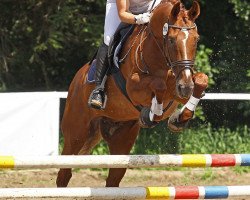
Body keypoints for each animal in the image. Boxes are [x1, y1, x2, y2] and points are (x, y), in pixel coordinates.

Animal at [55, 0, 208, 188]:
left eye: (196, 39)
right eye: (171, 40)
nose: (186, 87)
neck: (158, 54)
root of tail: (76, 81)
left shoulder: (177, 87)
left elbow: (201, 80)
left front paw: (179, 119)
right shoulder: (133, 87)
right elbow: (159, 86)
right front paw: (151, 114)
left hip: (122, 140)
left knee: (113, 179)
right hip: (76, 135)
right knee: (64, 174)